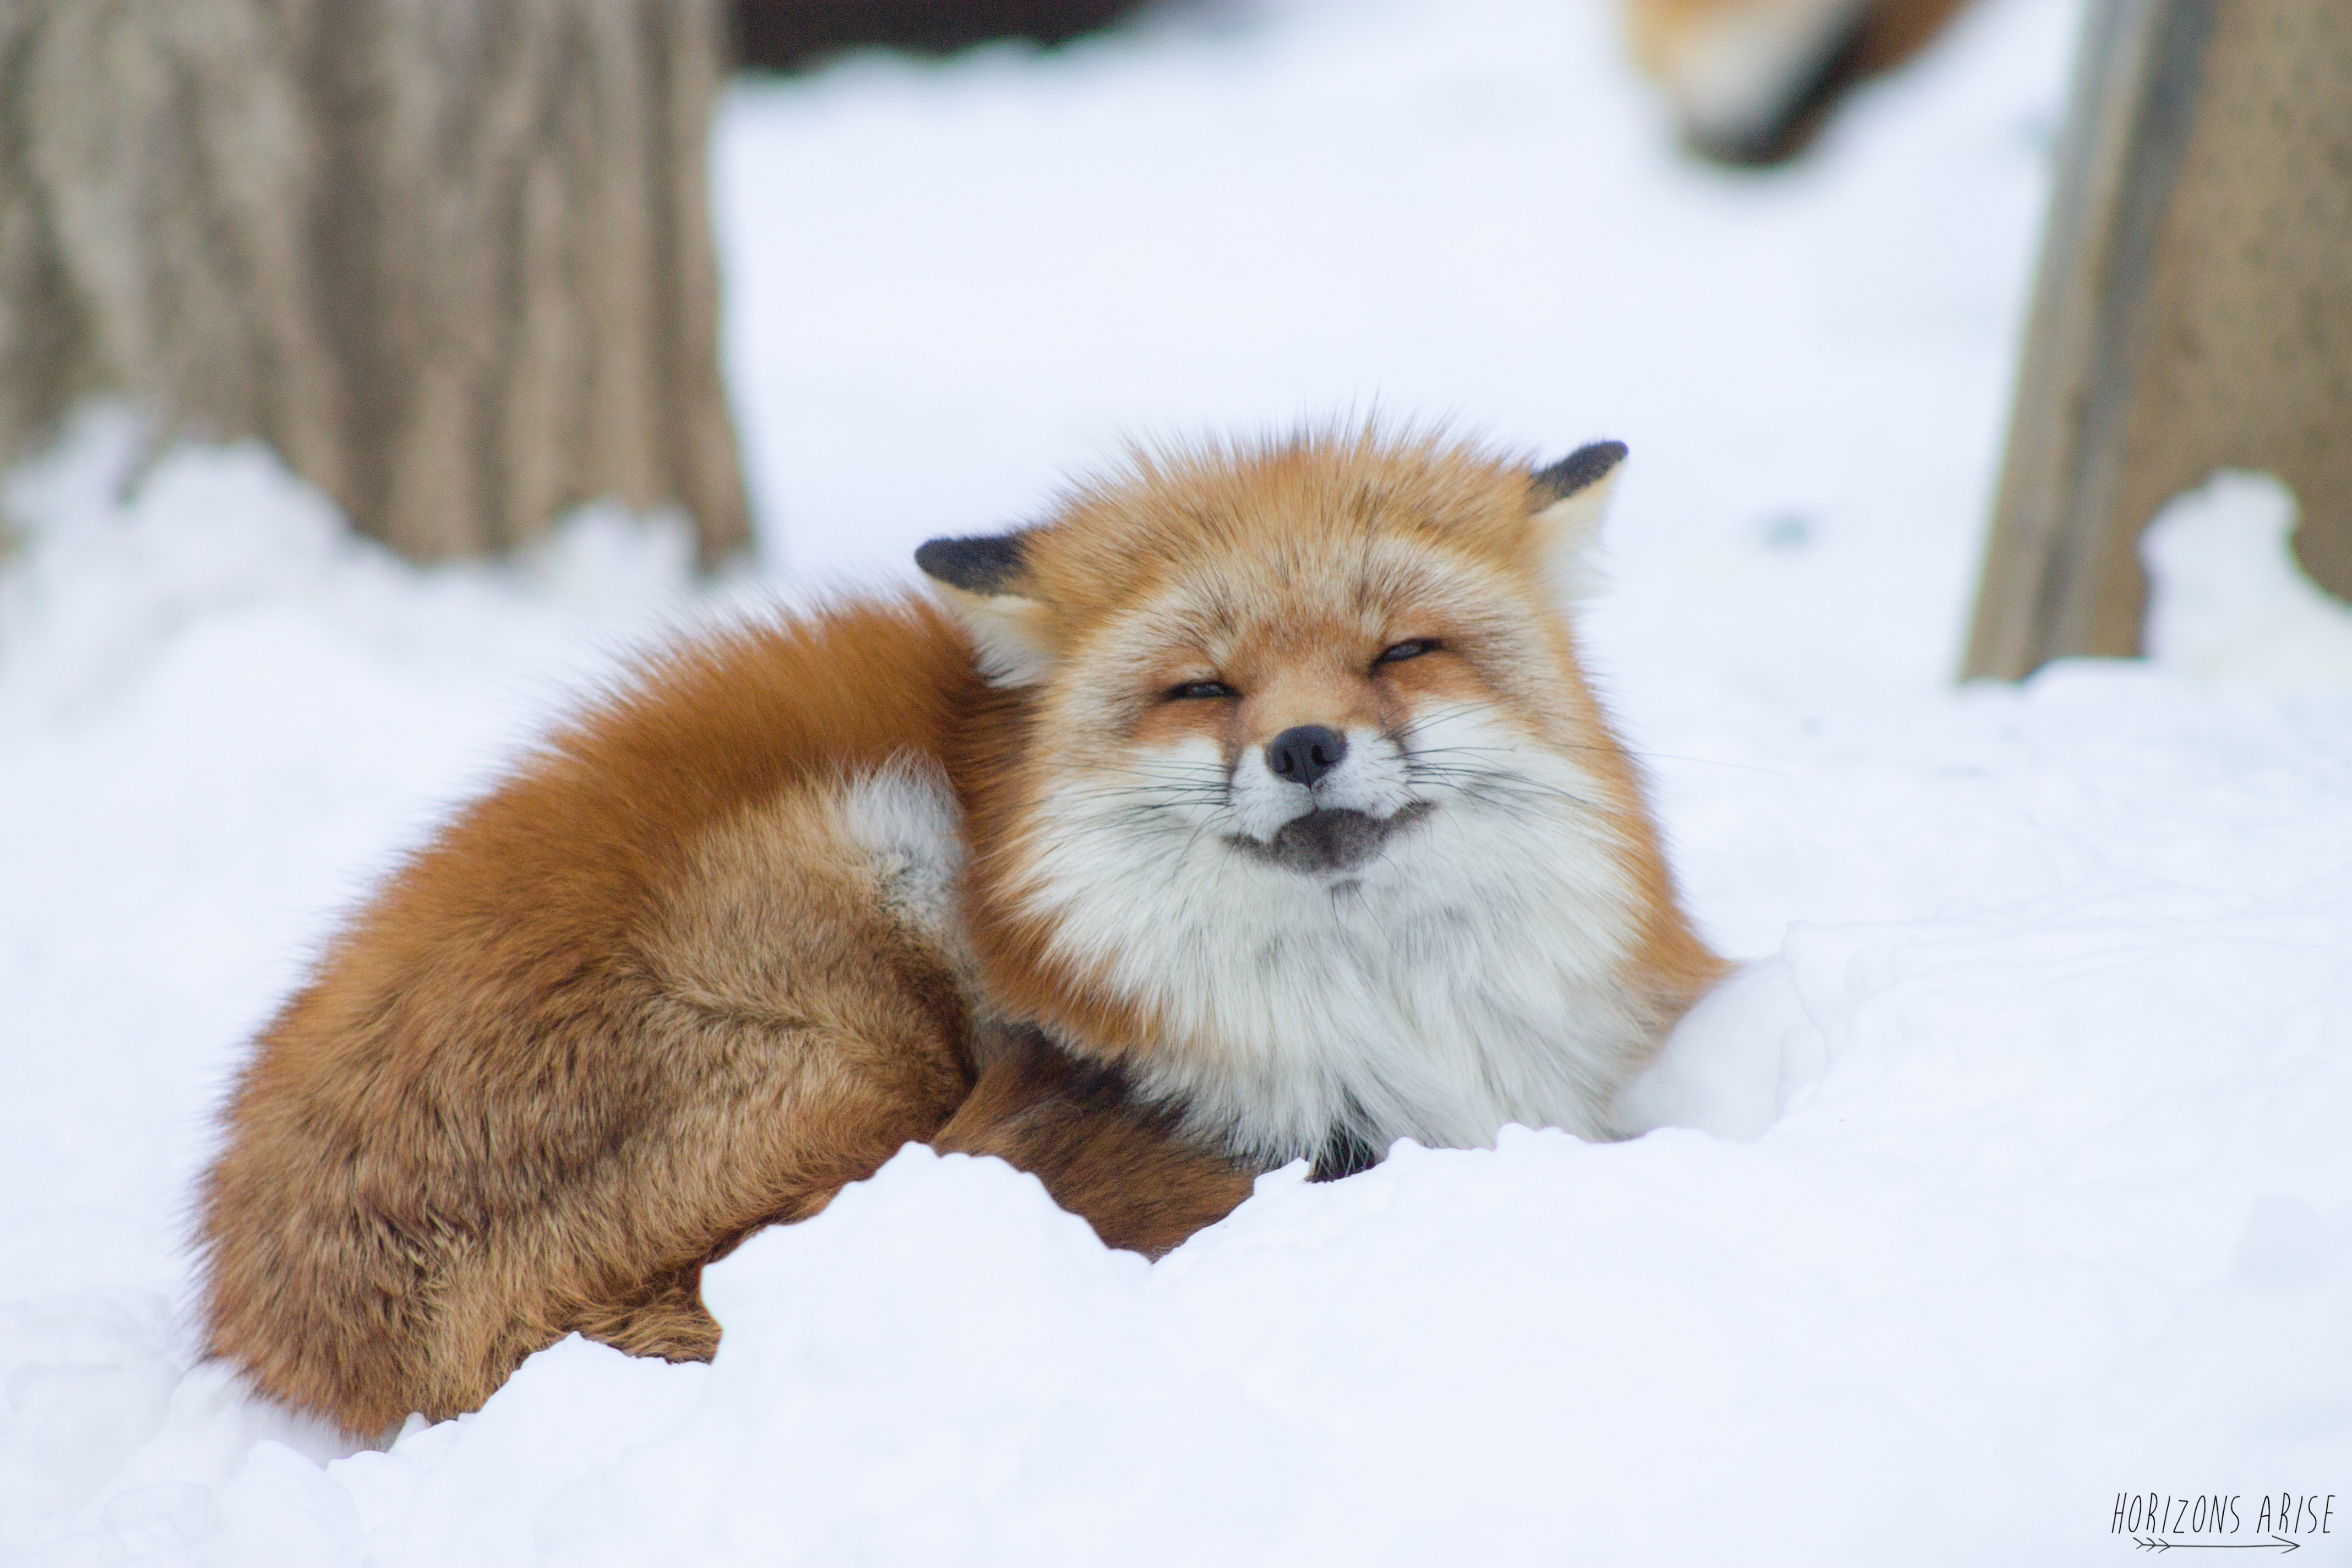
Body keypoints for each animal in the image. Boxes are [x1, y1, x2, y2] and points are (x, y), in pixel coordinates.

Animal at [197, 430, 1731, 1439]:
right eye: (1202, 686)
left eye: (1402, 650)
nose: (1305, 745)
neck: (1361, 1016)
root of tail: (273, 1302)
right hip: (862, 944)